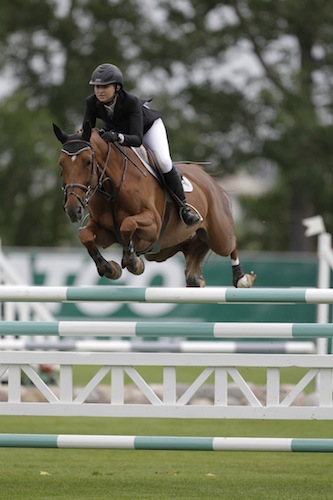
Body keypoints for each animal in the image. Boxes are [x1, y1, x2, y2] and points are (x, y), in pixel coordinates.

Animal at [52, 122, 254, 290]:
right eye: (61, 164)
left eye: (87, 162)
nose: (73, 210)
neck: (113, 189)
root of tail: (207, 178)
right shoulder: (106, 232)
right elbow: (85, 236)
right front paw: (109, 268)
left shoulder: (153, 225)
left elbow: (127, 225)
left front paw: (133, 262)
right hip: (162, 250)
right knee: (189, 247)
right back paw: (195, 279)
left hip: (218, 235)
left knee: (230, 243)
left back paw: (241, 278)